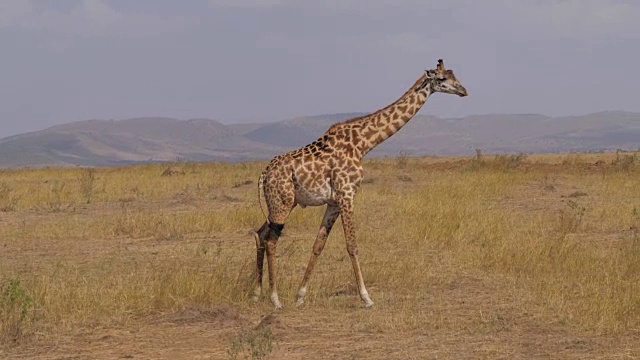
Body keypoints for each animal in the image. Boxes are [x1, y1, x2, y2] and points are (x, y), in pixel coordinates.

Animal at [252, 59, 468, 310]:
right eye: (442, 79)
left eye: (454, 75)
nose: (464, 91)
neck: (363, 144)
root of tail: (264, 175)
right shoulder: (347, 194)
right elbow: (352, 245)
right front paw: (366, 297)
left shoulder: (334, 202)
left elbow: (318, 245)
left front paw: (301, 295)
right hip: (282, 203)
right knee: (271, 240)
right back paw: (274, 298)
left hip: (280, 203)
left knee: (260, 233)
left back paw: (256, 292)